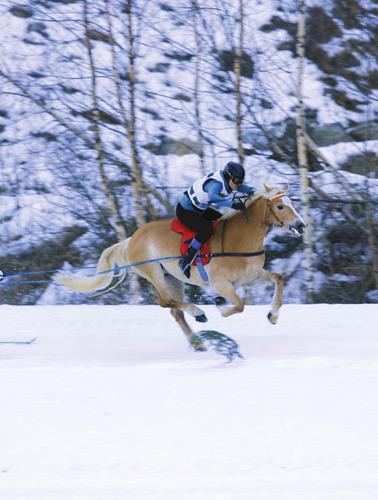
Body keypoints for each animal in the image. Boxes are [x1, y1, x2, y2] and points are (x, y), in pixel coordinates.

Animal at [55, 185, 304, 352]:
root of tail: (131, 239)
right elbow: (240, 305)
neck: (239, 240)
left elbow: (279, 278)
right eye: (280, 206)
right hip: (155, 273)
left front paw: (273, 315)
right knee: (166, 302)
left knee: (175, 310)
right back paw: (198, 313)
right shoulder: (221, 283)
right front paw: (220, 306)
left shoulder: (252, 276)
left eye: (292, 203)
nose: (301, 225)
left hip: (172, 278)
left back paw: (198, 342)